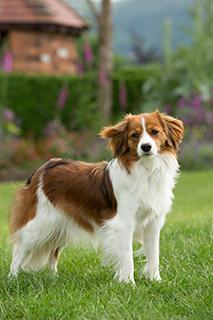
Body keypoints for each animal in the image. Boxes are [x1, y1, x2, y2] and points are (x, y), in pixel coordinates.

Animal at [9, 111, 184, 284]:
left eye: (154, 132)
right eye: (134, 135)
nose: (146, 147)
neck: (147, 170)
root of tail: (43, 167)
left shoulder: (153, 223)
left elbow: (154, 255)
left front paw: (155, 280)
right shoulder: (123, 223)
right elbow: (127, 257)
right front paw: (128, 283)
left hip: (60, 226)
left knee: (53, 252)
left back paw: (53, 277)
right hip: (40, 224)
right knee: (19, 250)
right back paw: (12, 279)